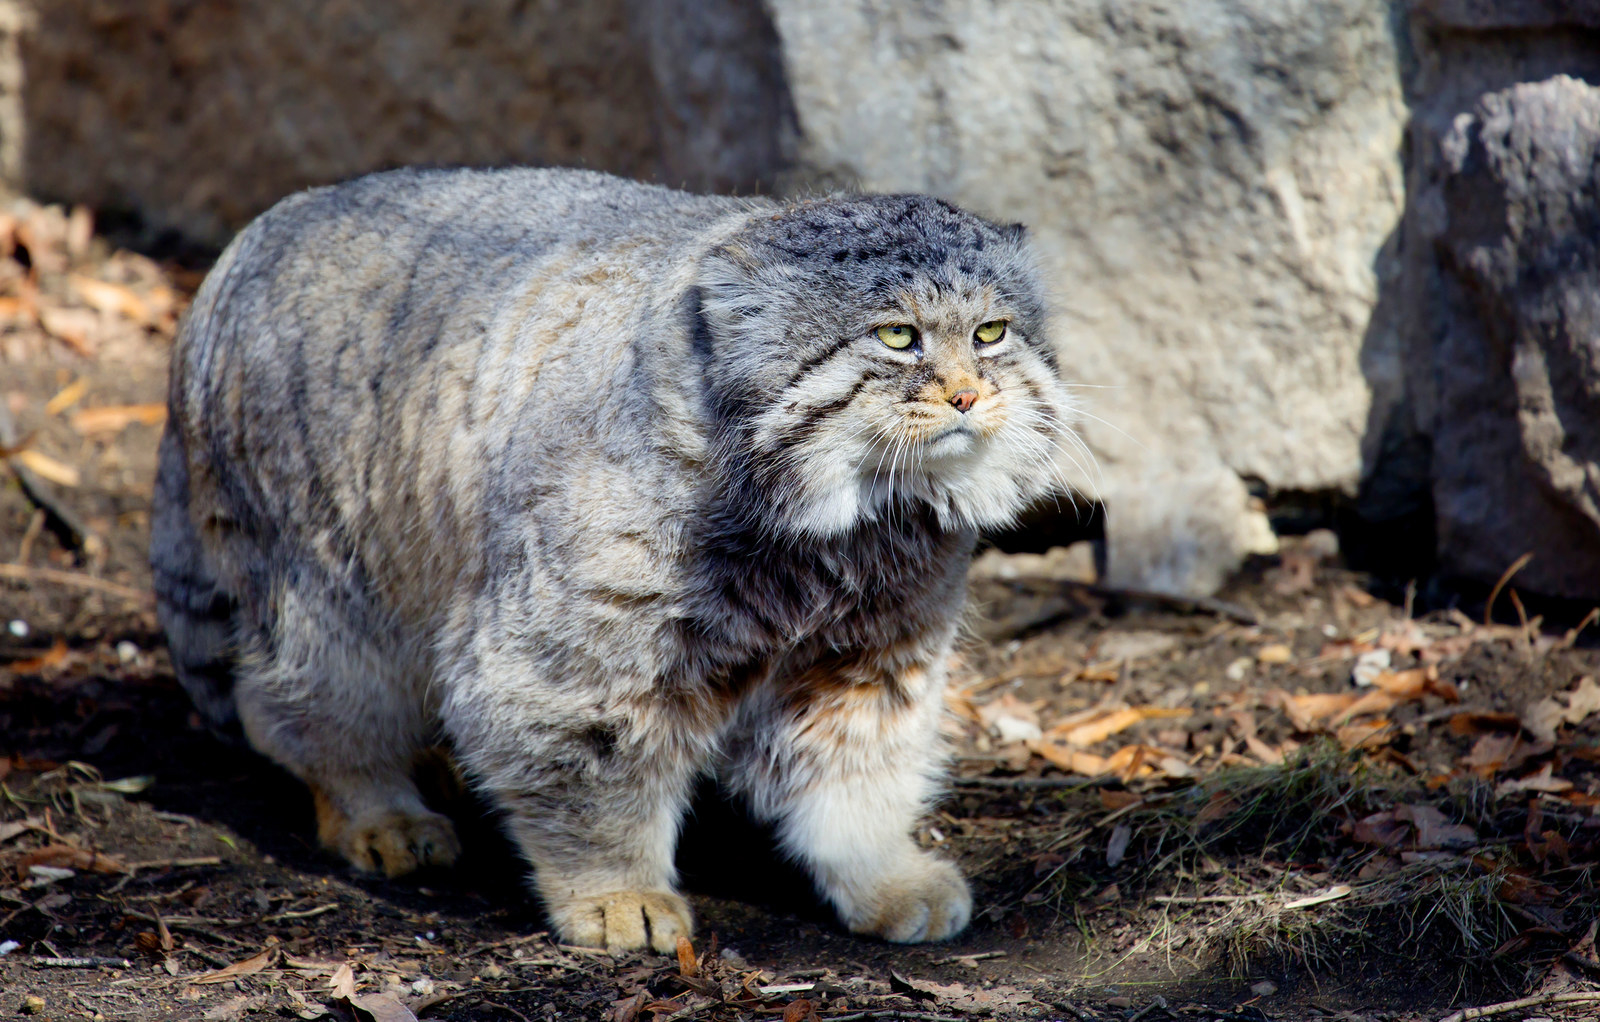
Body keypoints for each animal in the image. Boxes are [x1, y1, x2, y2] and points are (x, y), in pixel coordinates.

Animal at [150, 166, 1081, 953]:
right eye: (897, 336)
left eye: (991, 332)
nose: (970, 395)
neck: (844, 529)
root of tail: (244, 245)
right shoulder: (570, 661)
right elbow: (591, 775)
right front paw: (614, 891)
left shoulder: (868, 654)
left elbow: (858, 772)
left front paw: (880, 873)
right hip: (332, 577)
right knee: (303, 702)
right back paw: (375, 804)